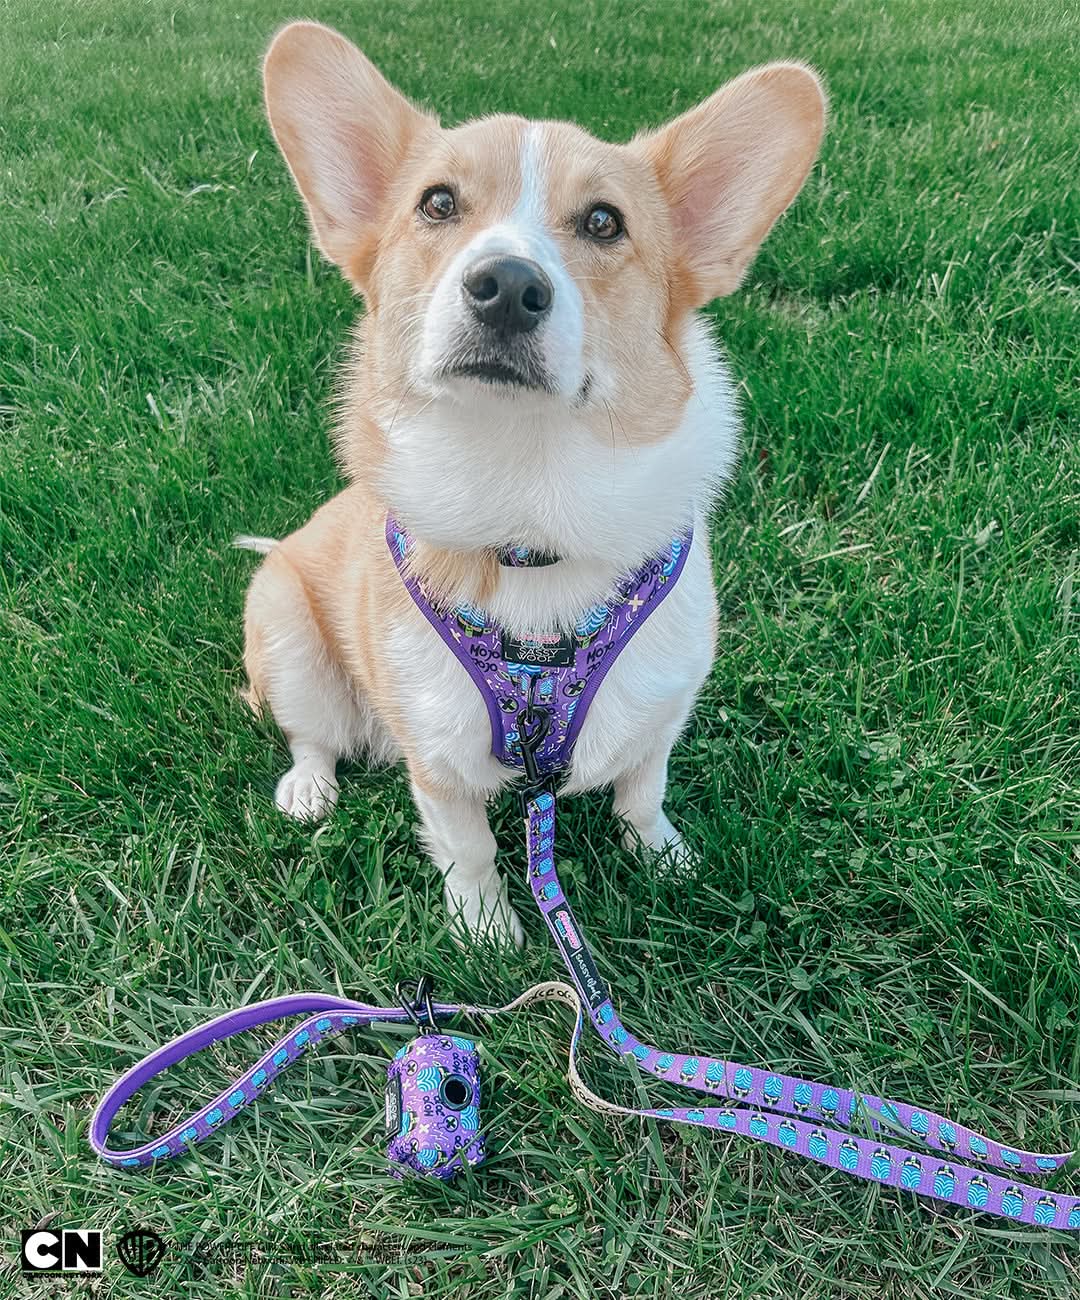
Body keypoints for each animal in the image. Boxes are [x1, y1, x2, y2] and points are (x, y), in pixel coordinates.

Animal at [239, 21, 825, 947]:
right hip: (286, 632)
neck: (531, 499)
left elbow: (644, 789)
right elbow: (469, 846)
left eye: (604, 222)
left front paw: (664, 858)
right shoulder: (438, 756)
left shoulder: (663, 704)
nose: (508, 287)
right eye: (438, 204)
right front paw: (486, 933)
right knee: (311, 736)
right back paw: (307, 789)